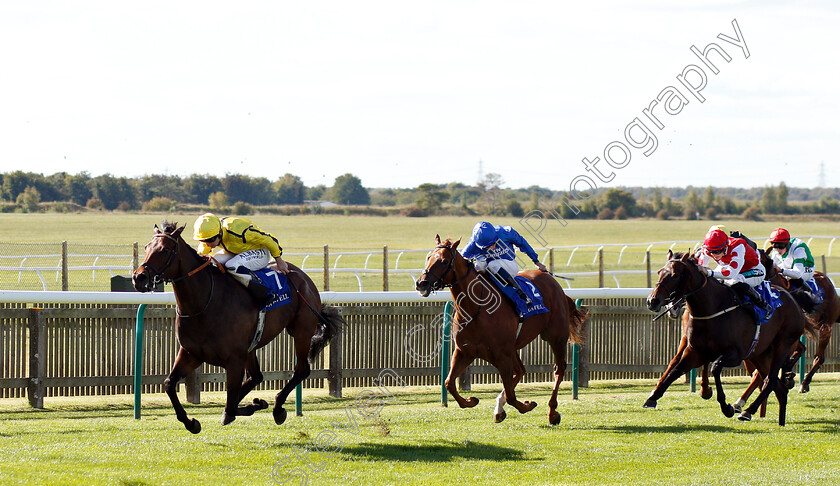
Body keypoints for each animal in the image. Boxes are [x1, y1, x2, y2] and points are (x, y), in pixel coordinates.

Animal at [131, 220, 342, 432]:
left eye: (165, 250)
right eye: (146, 247)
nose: (139, 277)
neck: (205, 303)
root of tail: (303, 277)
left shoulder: (234, 359)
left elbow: (231, 405)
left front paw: (255, 405)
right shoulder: (191, 353)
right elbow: (169, 383)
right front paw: (191, 422)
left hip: (301, 332)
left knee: (301, 370)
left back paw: (277, 407)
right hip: (252, 346)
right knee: (256, 376)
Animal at [412, 237, 584, 424]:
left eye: (444, 261)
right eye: (428, 257)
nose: (421, 283)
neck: (476, 308)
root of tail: (555, 284)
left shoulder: (502, 355)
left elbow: (511, 395)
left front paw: (527, 405)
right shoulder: (465, 351)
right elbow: (449, 383)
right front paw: (471, 401)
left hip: (555, 337)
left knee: (558, 369)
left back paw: (552, 412)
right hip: (514, 347)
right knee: (521, 371)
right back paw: (499, 408)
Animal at [644, 251, 812, 426]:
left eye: (675, 275)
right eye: (659, 272)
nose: (652, 301)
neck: (713, 307)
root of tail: (793, 299)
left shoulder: (735, 354)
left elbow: (715, 367)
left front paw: (727, 407)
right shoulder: (695, 351)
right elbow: (676, 369)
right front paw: (653, 397)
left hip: (783, 344)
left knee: (771, 379)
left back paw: (748, 410)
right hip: (760, 354)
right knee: (776, 385)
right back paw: (778, 418)